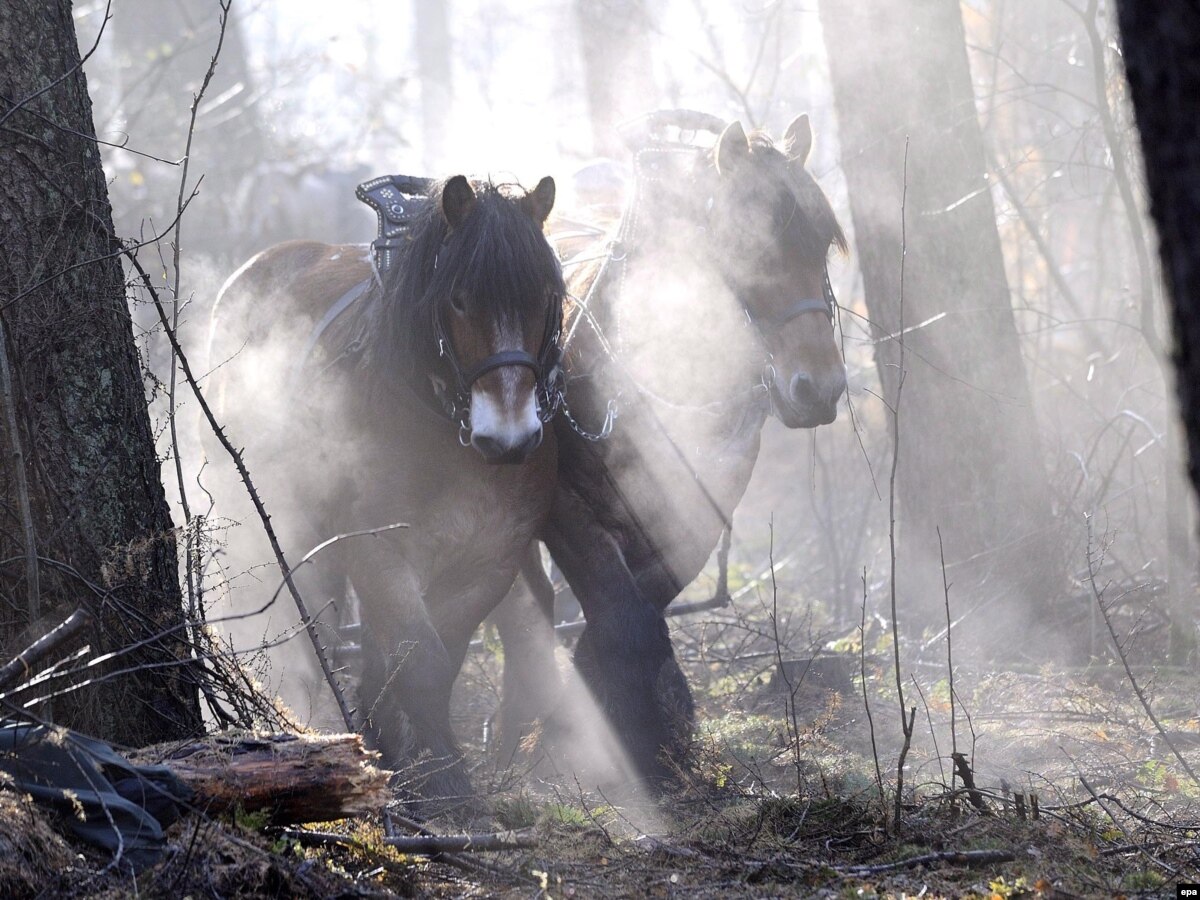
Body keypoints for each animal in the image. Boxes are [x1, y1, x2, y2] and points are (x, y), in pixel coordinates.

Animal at [208, 174, 564, 811]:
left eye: (545, 295)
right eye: (458, 299)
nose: (510, 437)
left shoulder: (489, 563)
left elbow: (433, 659)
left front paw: (402, 754)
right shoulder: (377, 549)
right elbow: (419, 661)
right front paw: (446, 783)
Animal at [493, 112, 848, 782]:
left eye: (822, 243)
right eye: (751, 246)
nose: (819, 388)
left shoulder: (696, 508)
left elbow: (637, 611)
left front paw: (654, 731)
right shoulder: (565, 505)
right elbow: (618, 612)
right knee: (529, 604)